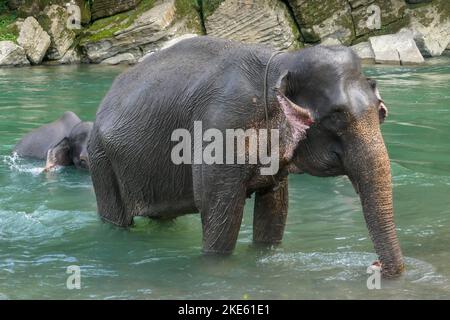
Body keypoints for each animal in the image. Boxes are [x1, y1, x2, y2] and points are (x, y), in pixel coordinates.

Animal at [89, 35, 406, 278]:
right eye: (336, 118)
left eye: (380, 111)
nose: (375, 266)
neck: (281, 64)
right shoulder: (221, 129)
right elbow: (219, 213)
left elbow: (275, 209)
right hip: (101, 160)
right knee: (116, 219)